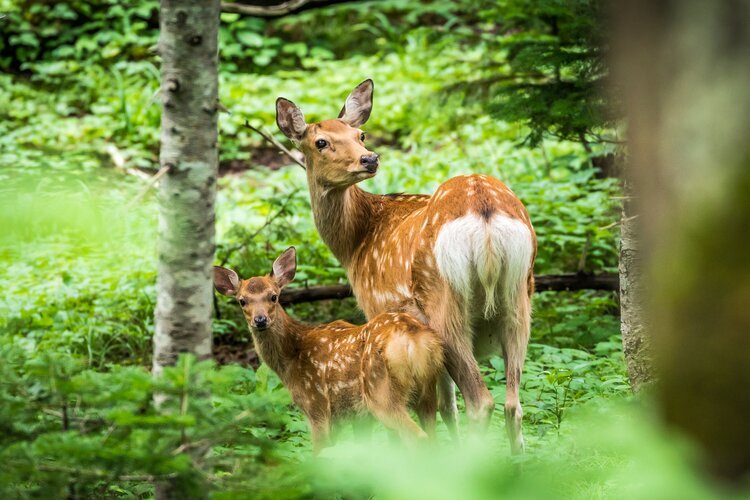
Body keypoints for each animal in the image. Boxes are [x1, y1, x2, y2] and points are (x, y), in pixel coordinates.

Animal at [213, 247, 444, 453]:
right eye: (242, 301)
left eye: (273, 296)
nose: (260, 320)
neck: (291, 358)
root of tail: (415, 339)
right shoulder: (355, 416)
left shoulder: (317, 404)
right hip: (427, 390)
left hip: (380, 392)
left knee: (418, 438)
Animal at [275, 80, 537, 453]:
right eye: (321, 141)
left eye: (360, 134)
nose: (369, 158)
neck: (356, 243)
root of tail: (484, 211)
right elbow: (445, 406)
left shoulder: (377, 311)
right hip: (520, 299)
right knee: (513, 404)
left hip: (444, 304)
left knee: (480, 402)